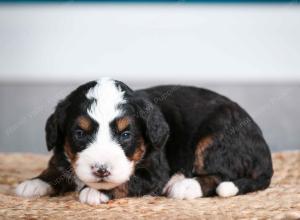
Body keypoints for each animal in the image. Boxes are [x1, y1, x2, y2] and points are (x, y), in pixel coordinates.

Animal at [15, 78, 274, 205]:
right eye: (80, 133)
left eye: (125, 135)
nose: (101, 170)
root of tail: (265, 154)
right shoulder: (62, 153)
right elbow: (56, 167)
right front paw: (34, 183)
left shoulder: (155, 171)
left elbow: (130, 180)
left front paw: (95, 191)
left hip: (216, 137)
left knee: (221, 175)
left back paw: (183, 185)